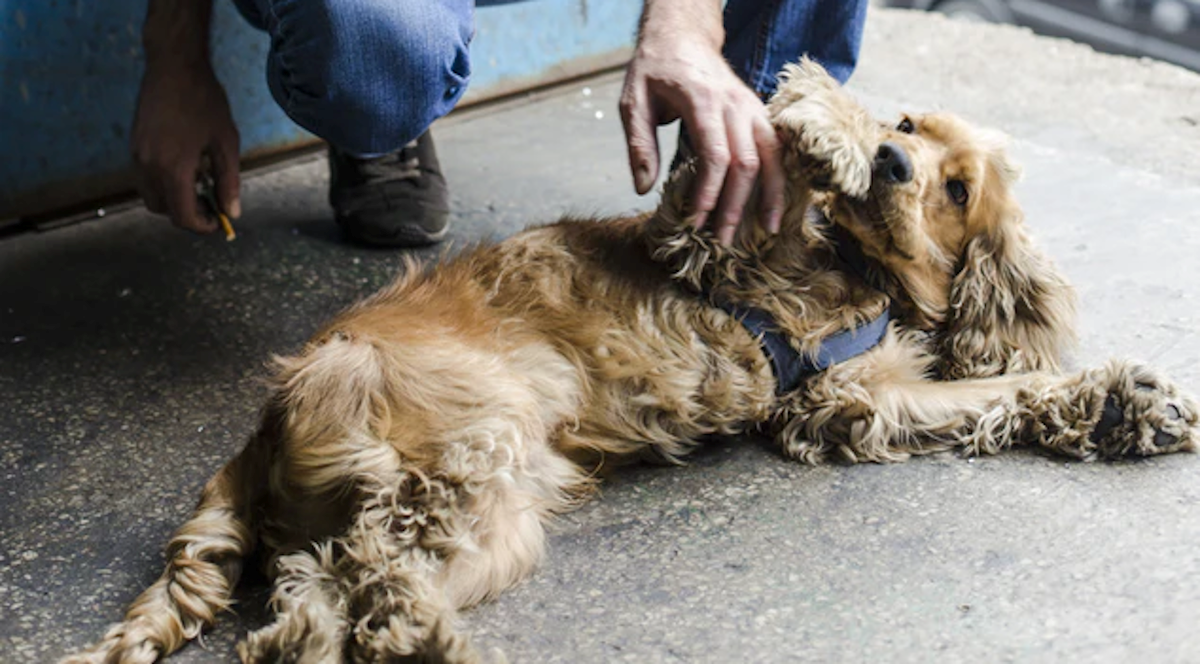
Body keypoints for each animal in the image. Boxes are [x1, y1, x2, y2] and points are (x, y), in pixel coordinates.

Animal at [70, 59, 1195, 657]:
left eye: (956, 189)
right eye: (907, 123)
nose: (888, 159)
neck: (856, 272)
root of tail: (260, 433)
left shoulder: (848, 397)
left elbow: (996, 388)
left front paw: (1120, 402)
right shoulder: (708, 235)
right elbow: (759, 145)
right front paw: (822, 120)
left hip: (477, 501)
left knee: (320, 594)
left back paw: (399, 631)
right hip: (469, 457)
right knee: (358, 575)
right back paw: (415, 633)